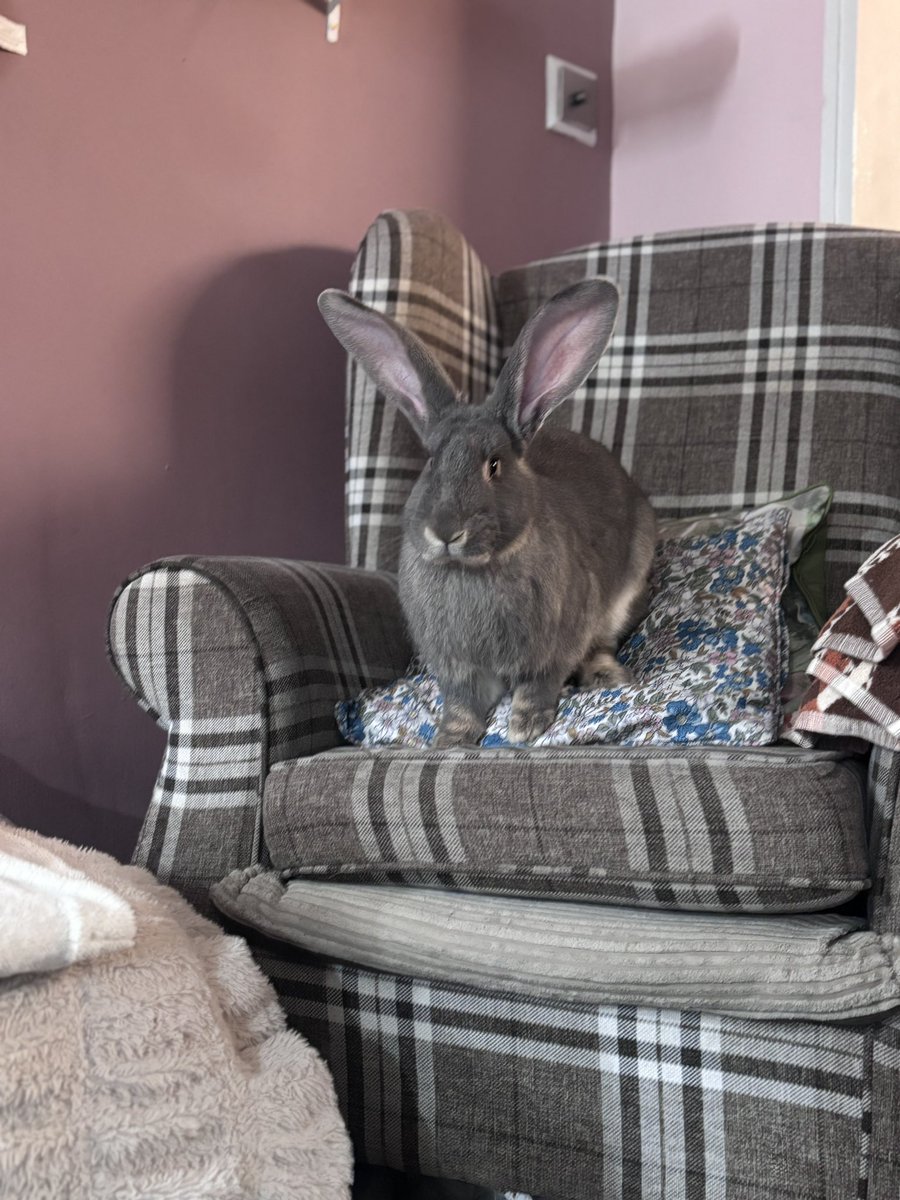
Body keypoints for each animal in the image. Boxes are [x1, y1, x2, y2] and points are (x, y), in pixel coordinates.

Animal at [318, 278, 657, 747]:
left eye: (494, 465)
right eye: (431, 462)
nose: (446, 532)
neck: (474, 569)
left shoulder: (553, 649)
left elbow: (539, 684)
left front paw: (525, 726)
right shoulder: (459, 670)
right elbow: (462, 705)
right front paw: (450, 739)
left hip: (624, 595)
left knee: (602, 645)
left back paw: (607, 678)